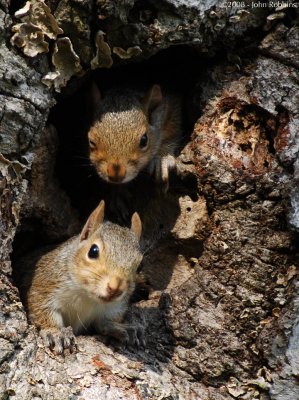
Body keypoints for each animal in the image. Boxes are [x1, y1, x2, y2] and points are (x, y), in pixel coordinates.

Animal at [17, 202, 144, 352]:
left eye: (139, 265)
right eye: (93, 251)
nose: (115, 288)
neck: (87, 297)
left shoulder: (114, 307)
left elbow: (104, 323)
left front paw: (122, 328)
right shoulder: (44, 286)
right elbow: (42, 310)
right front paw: (55, 332)